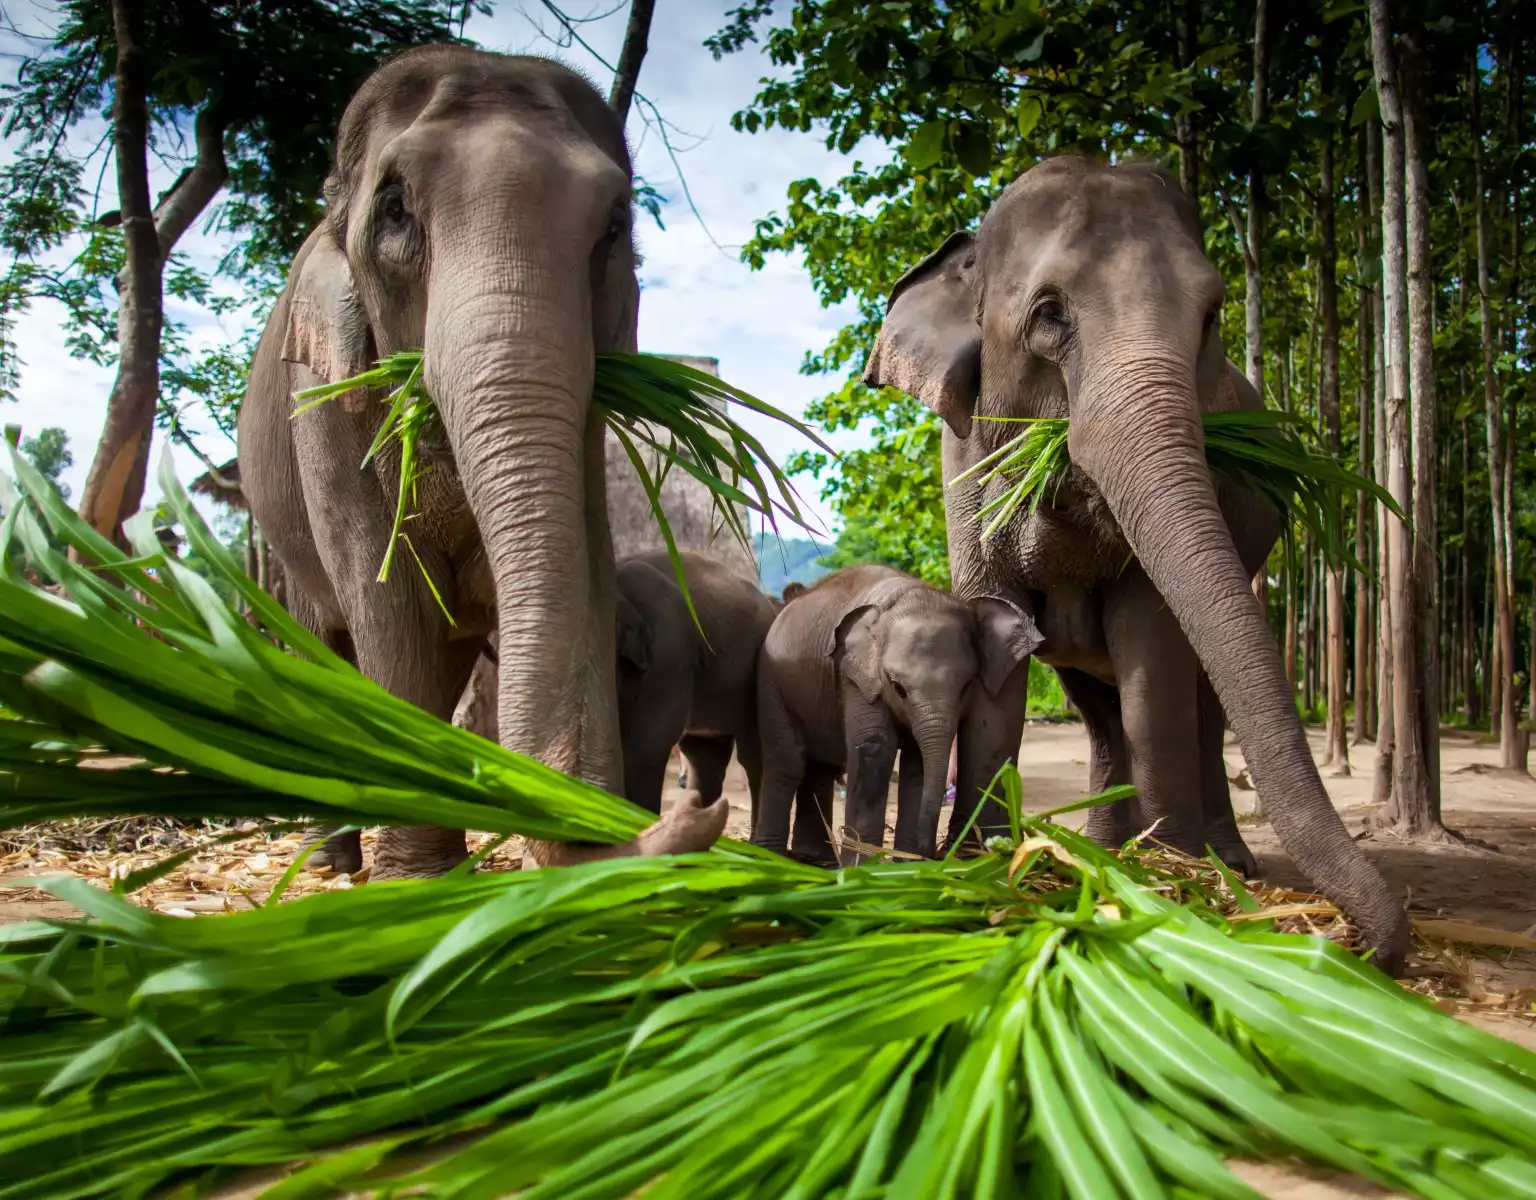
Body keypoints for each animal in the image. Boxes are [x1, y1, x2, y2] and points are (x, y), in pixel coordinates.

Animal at [237, 47, 726, 879]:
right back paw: (331, 860)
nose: (695, 812)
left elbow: (584, 568)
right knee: (326, 643)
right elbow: (389, 600)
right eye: (394, 209)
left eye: (615, 226)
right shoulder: (323, 397)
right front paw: (415, 879)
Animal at [753, 566, 1041, 864]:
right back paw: (770, 857)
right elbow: (874, 747)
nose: (932, 854)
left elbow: (917, 764)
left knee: (821, 767)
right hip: (771, 682)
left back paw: (816, 859)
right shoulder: (856, 677)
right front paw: (863, 867)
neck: (907, 594)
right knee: (786, 762)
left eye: (966, 686)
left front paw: (907, 864)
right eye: (897, 687)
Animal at [863, 155, 1409, 971]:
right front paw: (984, 861)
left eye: (1211, 316)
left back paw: (1218, 860)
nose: (1360, 946)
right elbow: (998, 636)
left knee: (1199, 703)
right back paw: (1098, 845)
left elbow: (1153, 646)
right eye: (1050, 315)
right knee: (1094, 706)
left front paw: (1169, 872)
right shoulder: (959, 467)